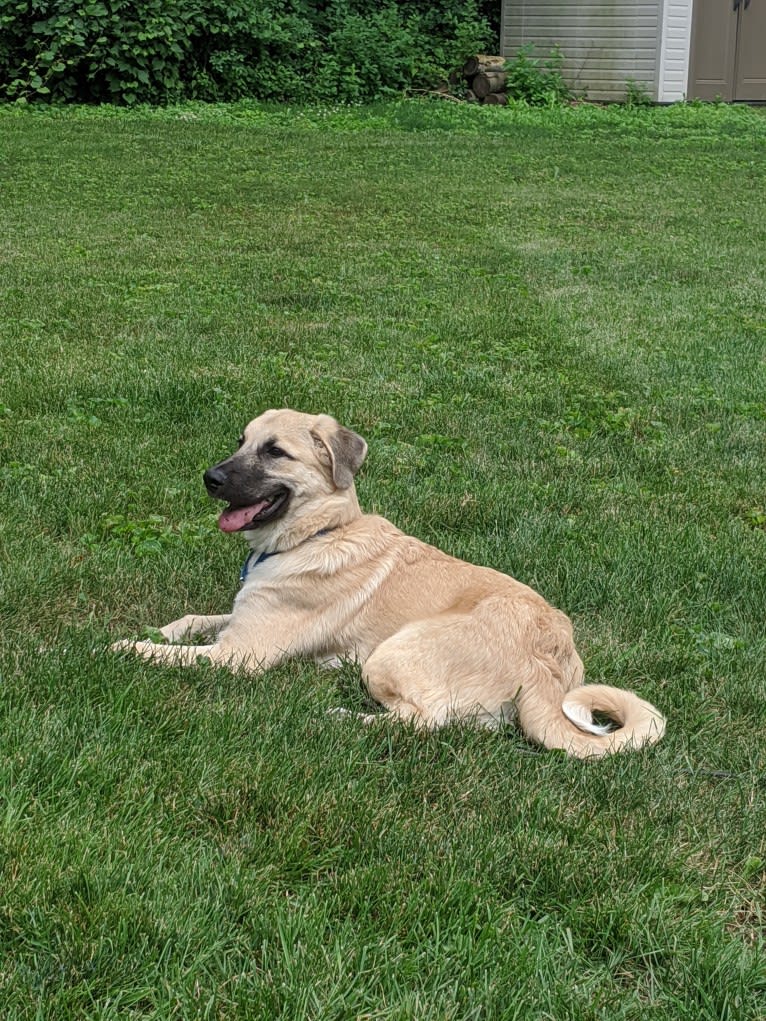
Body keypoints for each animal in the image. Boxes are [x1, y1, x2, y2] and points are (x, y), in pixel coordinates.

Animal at [112, 408, 665, 759]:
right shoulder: (242, 618)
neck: (320, 532)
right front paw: (163, 630)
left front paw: (122, 647)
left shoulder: (238, 655)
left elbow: (162, 654)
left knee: (423, 721)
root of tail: (548, 660)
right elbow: (191, 620)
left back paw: (343, 719)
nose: (210, 477)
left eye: (275, 452)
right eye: (240, 441)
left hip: (389, 654)